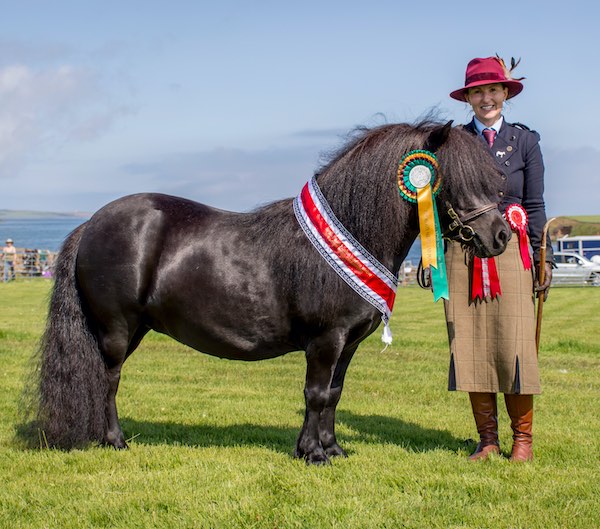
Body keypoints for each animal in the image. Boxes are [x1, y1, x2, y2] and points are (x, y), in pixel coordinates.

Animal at [25, 119, 508, 462]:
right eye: (455, 178)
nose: (501, 235)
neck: (348, 234)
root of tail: (92, 222)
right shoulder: (325, 340)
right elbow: (315, 393)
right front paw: (313, 454)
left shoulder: (348, 344)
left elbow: (333, 395)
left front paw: (331, 449)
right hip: (117, 329)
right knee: (109, 379)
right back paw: (115, 440)